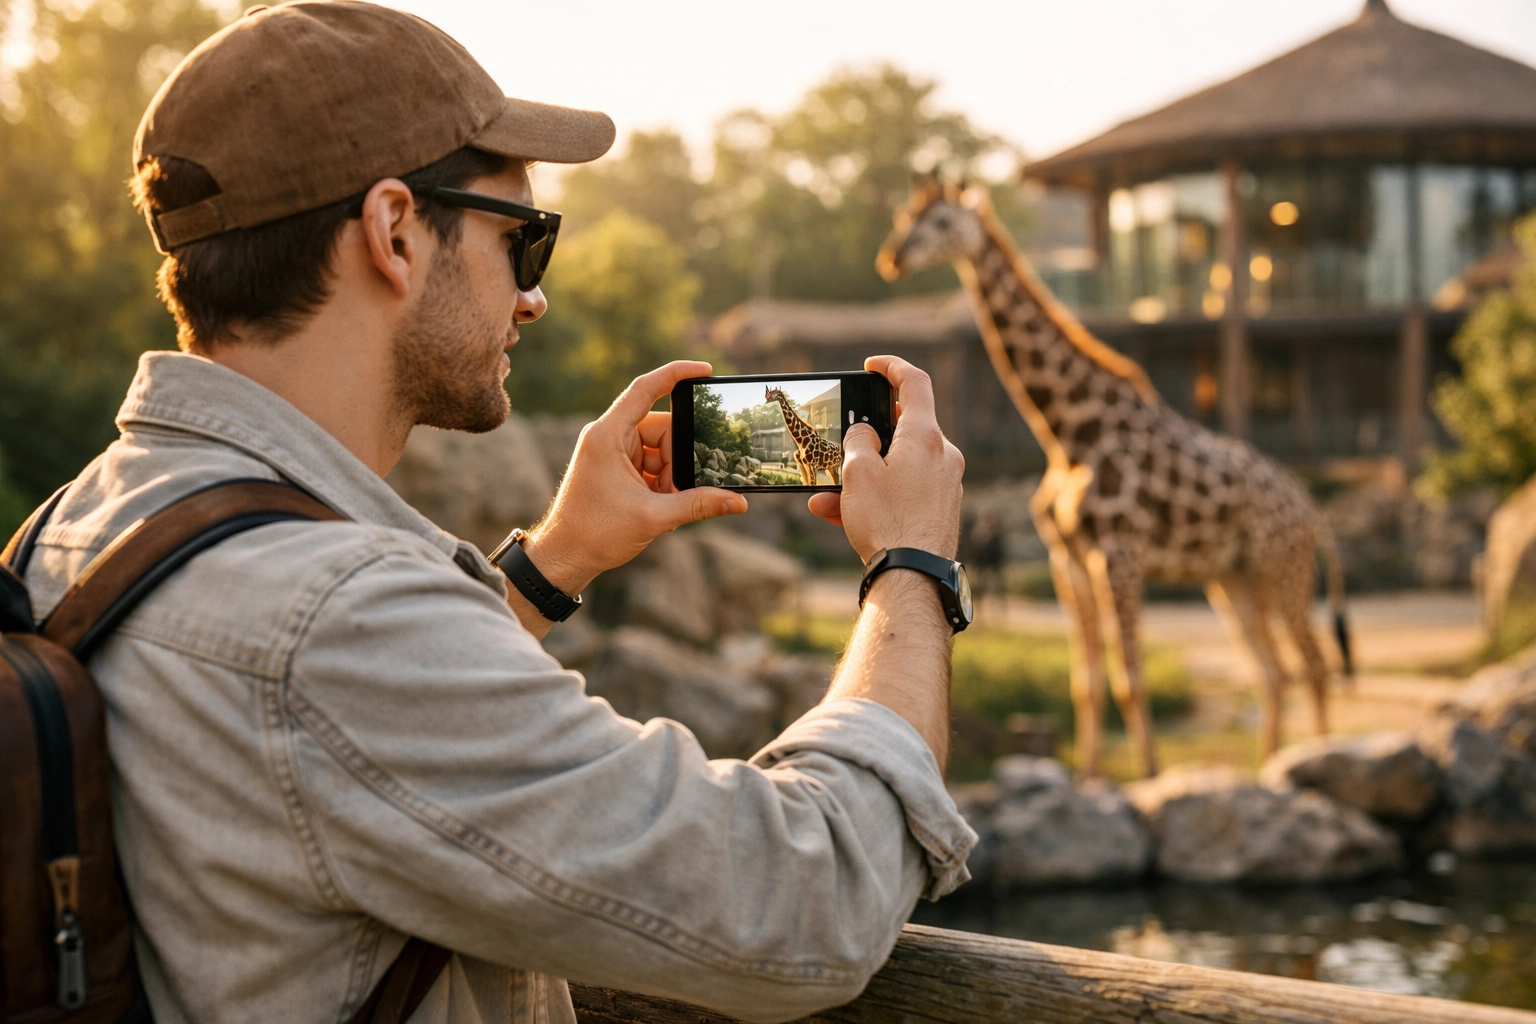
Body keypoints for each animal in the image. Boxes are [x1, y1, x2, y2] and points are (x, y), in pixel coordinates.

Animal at [877, 182, 1352, 778]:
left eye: (941, 222)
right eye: (904, 217)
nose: (891, 258)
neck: (1068, 433)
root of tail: (1312, 512)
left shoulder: (1119, 552)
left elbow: (1129, 676)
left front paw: (1149, 772)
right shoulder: (1070, 559)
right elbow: (1087, 683)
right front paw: (1087, 776)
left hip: (1281, 565)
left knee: (1314, 663)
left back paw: (1318, 760)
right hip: (1234, 576)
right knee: (1274, 670)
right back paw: (1270, 766)